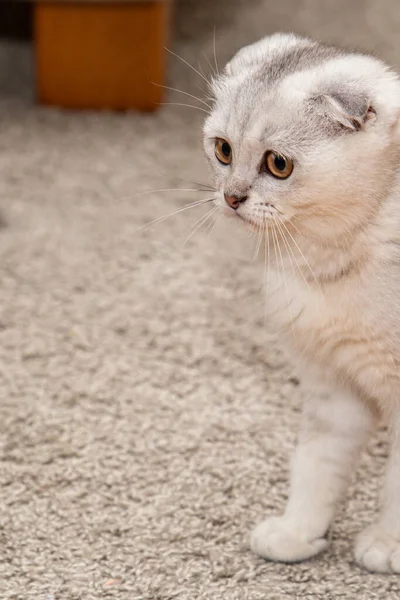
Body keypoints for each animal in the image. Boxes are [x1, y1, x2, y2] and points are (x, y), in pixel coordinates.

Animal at [203, 31, 400, 572]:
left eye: (279, 164)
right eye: (223, 150)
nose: (231, 196)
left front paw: (388, 543)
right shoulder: (332, 385)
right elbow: (315, 464)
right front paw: (298, 533)